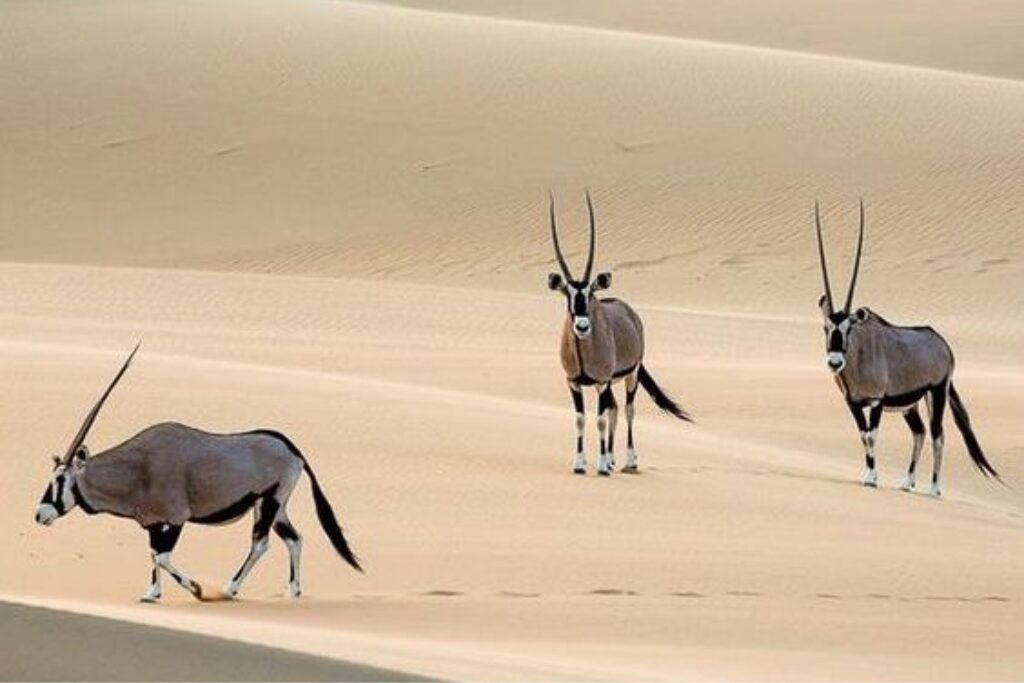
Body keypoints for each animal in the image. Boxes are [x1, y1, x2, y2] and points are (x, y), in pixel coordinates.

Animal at [35, 344, 364, 602]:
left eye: (60, 480)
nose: (40, 514)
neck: (137, 469)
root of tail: (292, 448)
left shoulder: (175, 519)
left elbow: (163, 556)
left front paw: (197, 589)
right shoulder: (153, 523)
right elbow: (154, 554)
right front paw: (151, 594)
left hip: (269, 501)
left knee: (261, 544)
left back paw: (230, 589)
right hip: (275, 506)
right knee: (294, 539)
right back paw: (293, 591)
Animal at [548, 189, 692, 473]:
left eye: (590, 293)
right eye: (567, 294)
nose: (582, 326)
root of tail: (630, 312)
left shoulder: (602, 382)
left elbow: (601, 419)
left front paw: (602, 466)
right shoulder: (574, 382)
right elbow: (581, 419)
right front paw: (580, 463)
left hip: (630, 375)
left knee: (626, 410)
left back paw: (628, 460)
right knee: (614, 409)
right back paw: (612, 458)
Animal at [811, 200, 995, 493]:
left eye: (849, 328)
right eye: (826, 328)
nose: (835, 362)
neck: (858, 356)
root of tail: (942, 343)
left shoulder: (876, 402)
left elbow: (872, 436)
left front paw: (872, 478)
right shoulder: (853, 404)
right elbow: (863, 436)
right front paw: (870, 474)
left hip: (937, 392)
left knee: (938, 435)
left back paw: (934, 488)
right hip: (912, 404)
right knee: (920, 433)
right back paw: (908, 482)